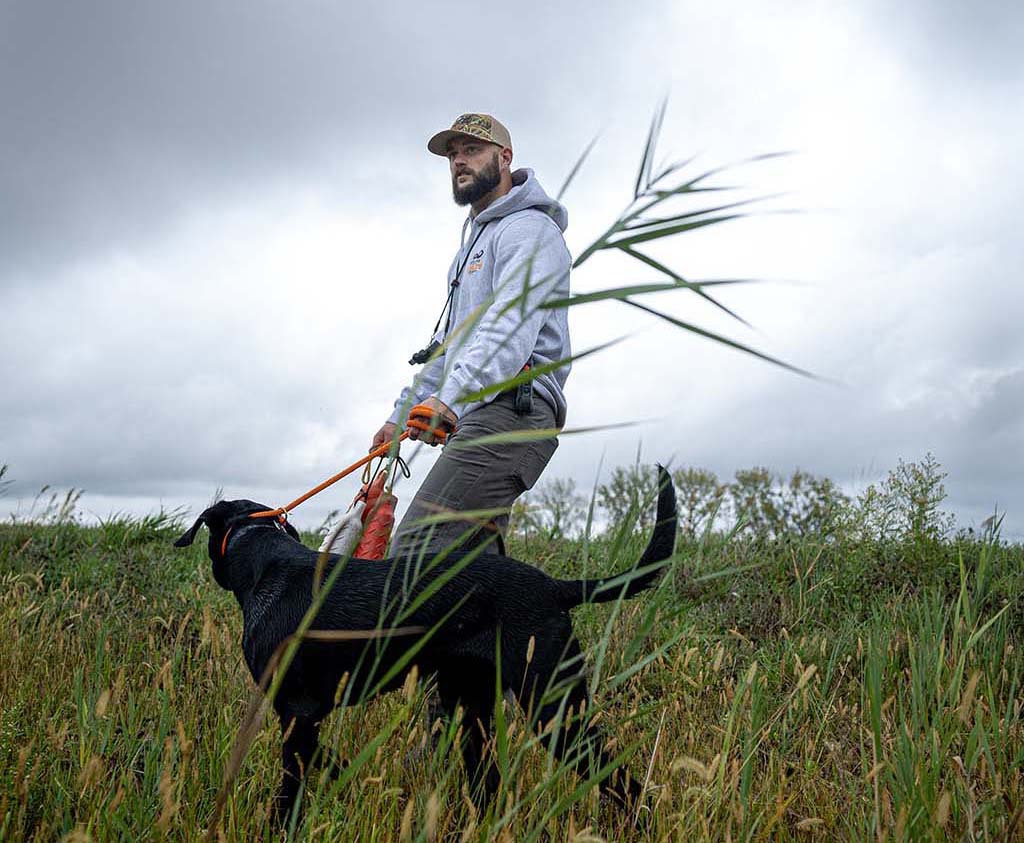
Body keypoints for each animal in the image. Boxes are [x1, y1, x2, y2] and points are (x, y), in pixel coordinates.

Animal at [176, 465, 671, 819]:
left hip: (553, 706)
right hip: (475, 712)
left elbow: (290, 791)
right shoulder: (305, 716)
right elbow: (329, 759)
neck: (264, 562)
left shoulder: (296, 710)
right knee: (488, 785)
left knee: (621, 781)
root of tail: (554, 586)